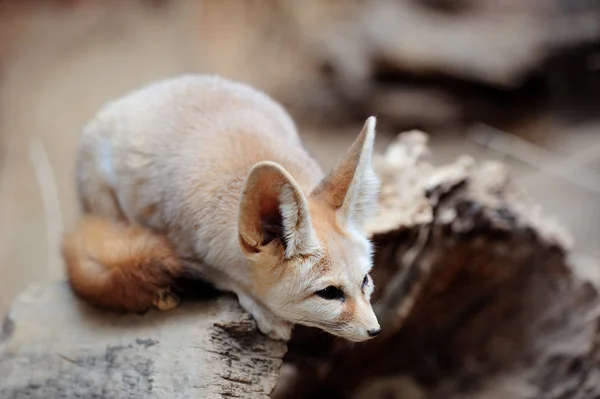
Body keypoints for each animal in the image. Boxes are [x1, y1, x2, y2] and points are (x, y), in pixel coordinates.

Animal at [63, 74, 382, 340]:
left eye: (365, 280)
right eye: (329, 293)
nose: (375, 330)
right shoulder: (184, 247)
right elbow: (224, 277)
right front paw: (265, 310)